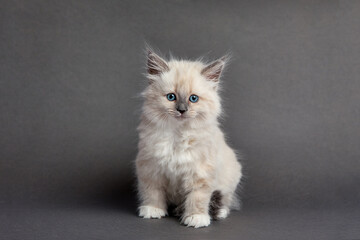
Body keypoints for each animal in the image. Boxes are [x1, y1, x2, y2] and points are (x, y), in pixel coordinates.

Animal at [135, 47, 242, 229]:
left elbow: (197, 198)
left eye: (193, 98)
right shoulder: (151, 169)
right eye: (171, 97)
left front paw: (196, 218)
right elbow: (153, 192)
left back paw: (219, 212)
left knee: (225, 200)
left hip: (231, 177)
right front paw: (153, 210)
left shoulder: (200, 173)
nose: (182, 110)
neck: (178, 135)